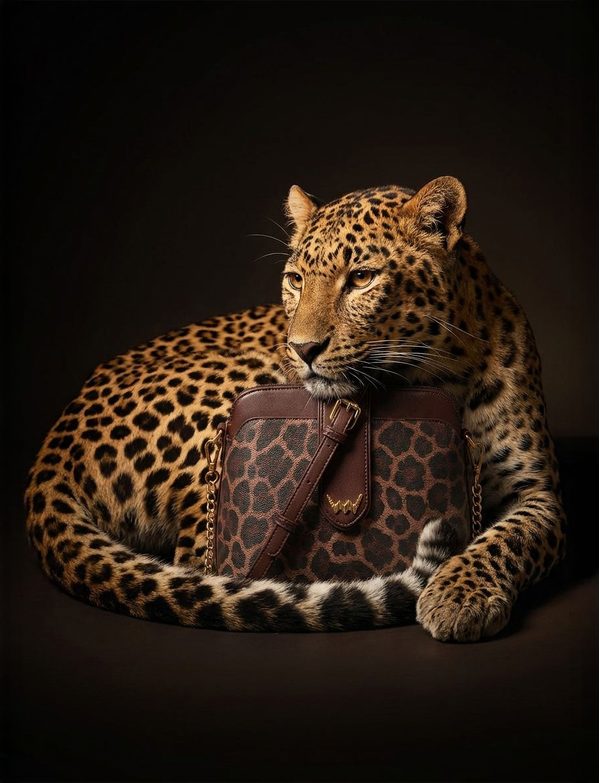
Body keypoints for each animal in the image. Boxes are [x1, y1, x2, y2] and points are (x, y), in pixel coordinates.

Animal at [24, 176, 566, 640]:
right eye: (296, 279)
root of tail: (55, 445)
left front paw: (458, 595)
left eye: (362, 278)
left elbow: (508, 538)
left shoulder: (537, 491)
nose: (302, 348)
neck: (442, 375)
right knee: (197, 560)